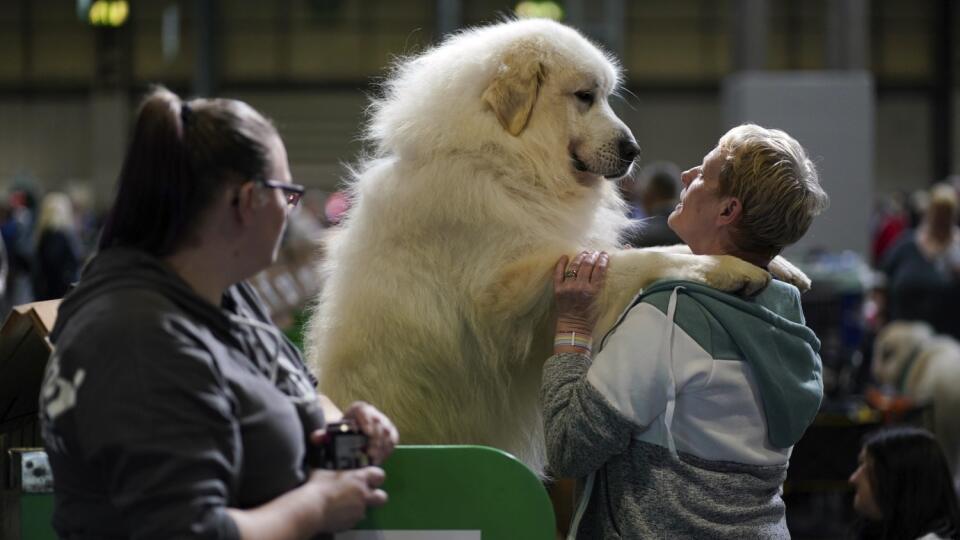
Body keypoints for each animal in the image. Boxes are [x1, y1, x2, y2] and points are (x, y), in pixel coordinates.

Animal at [306, 19, 804, 474]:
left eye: (606, 96)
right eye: (584, 96)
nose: (633, 149)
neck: (503, 161)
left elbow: (668, 250)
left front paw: (779, 265)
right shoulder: (506, 295)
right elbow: (638, 259)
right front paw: (730, 267)